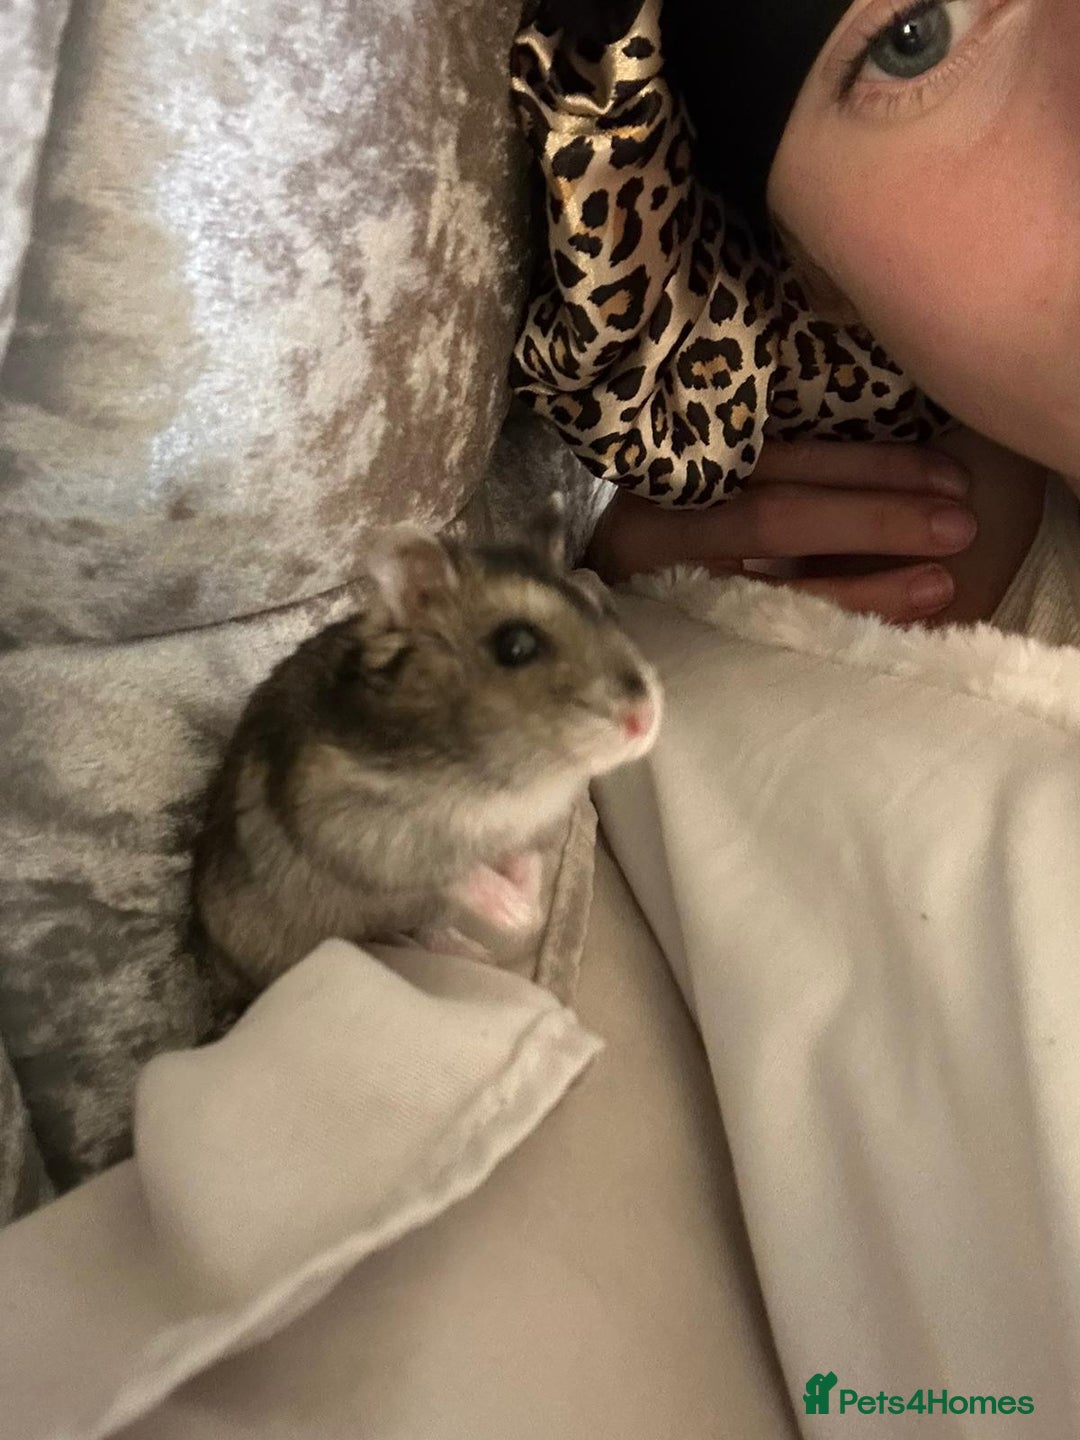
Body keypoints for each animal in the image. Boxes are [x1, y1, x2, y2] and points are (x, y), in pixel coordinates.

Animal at [191, 496, 662, 994]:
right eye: (515, 645)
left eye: (602, 609)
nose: (646, 719)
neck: (517, 779)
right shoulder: (353, 827)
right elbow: (447, 871)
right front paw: (516, 916)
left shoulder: (529, 828)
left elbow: (525, 856)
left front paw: (529, 911)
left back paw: (479, 955)